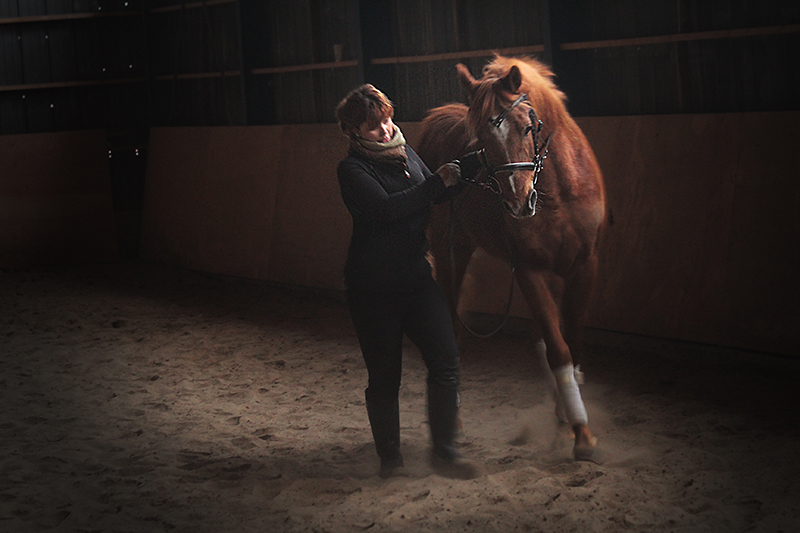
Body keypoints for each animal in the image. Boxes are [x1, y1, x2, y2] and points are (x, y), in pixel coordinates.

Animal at [418, 56, 608, 460]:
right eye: (481, 140)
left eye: (527, 127)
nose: (518, 201)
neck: (559, 191)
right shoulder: (529, 270)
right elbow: (558, 349)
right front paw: (581, 432)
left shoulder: (583, 267)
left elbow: (571, 342)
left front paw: (568, 420)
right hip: (450, 254)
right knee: (453, 330)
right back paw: (453, 424)